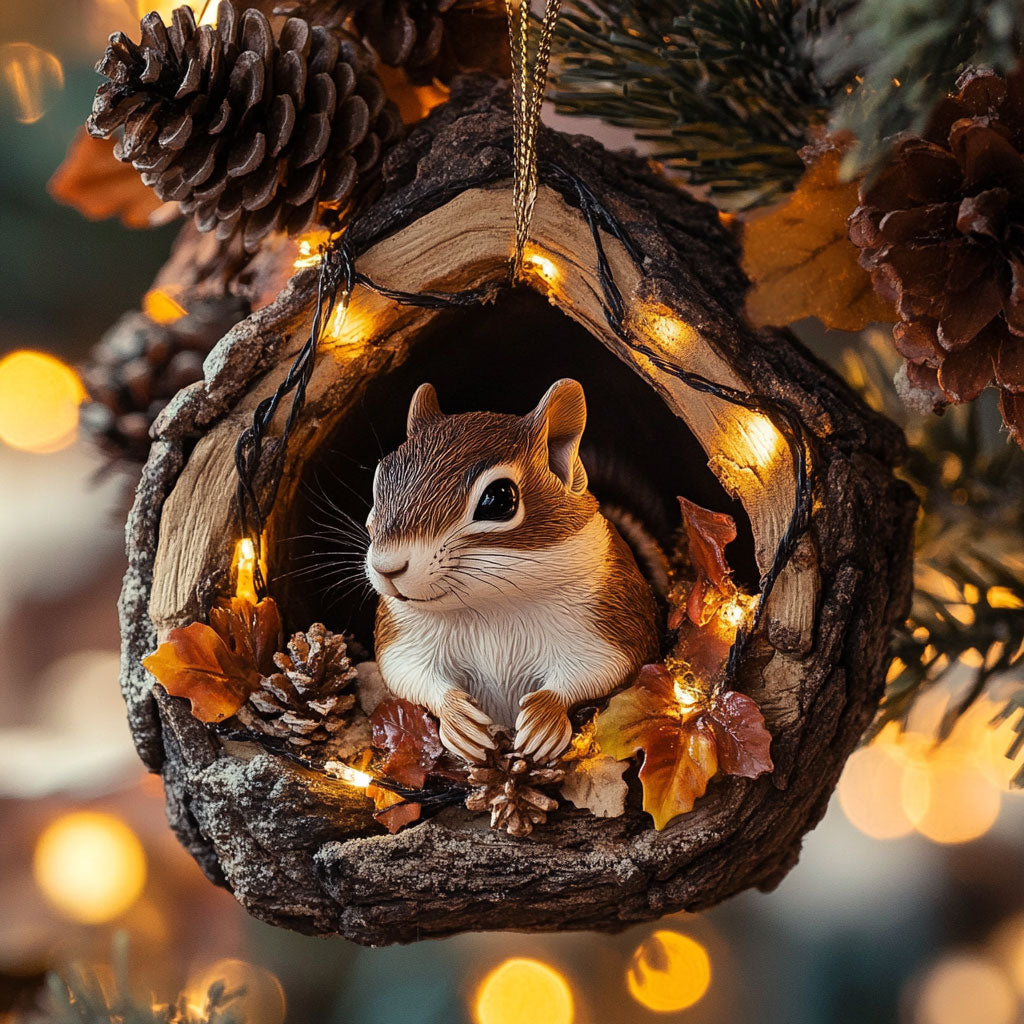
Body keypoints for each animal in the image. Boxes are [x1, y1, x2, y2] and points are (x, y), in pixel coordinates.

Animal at [365, 379, 660, 765]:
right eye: (380, 477)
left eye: (499, 499)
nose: (387, 567)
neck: (492, 604)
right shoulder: (404, 634)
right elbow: (405, 670)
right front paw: (458, 718)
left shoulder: (610, 618)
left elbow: (603, 667)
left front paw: (544, 719)